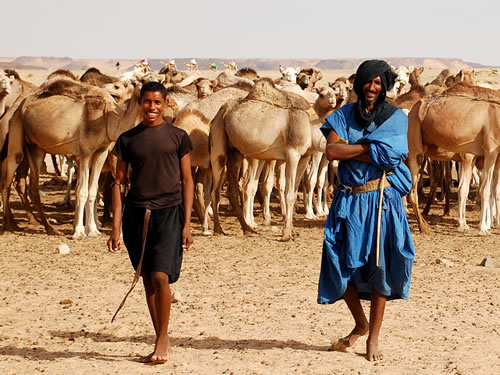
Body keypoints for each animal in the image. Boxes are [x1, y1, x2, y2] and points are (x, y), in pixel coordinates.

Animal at [0, 77, 142, 238]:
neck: (108, 117)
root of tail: (19, 105)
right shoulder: (86, 152)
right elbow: (82, 191)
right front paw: (79, 232)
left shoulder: (102, 152)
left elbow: (93, 191)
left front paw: (93, 230)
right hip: (16, 128)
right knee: (8, 179)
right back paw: (8, 226)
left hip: (35, 147)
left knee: (30, 187)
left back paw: (47, 227)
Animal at [209, 77, 314, 241]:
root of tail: (221, 111)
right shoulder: (292, 154)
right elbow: (289, 194)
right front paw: (286, 234)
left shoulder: (304, 157)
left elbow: (294, 192)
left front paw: (292, 231)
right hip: (218, 137)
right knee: (216, 188)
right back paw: (219, 229)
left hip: (235, 152)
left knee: (233, 189)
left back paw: (247, 229)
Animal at [408, 83, 498, 235]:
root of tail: (411, 110)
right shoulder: (489, 151)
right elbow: (483, 190)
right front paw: (481, 228)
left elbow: (492, 190)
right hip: (414, 144)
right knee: (411, 191)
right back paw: (424, 227)